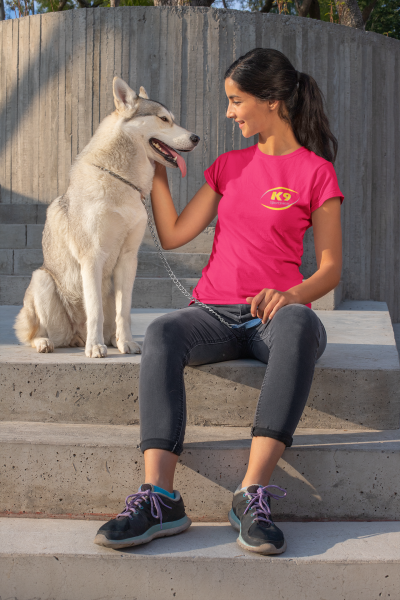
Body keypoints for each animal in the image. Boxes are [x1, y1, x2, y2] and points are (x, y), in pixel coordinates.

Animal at [14, 77, 200, 358]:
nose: (196, 137)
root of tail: (75, 336)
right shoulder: (92, 257)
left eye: (173, 119)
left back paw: (113, 339)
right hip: (42, 280)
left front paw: (127, 343)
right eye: (164, 119)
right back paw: (50, 342)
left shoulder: (128, 259)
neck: (122, 180)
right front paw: (95, 346)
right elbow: (95, 310)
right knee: (36, 333)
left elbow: (125, 311)